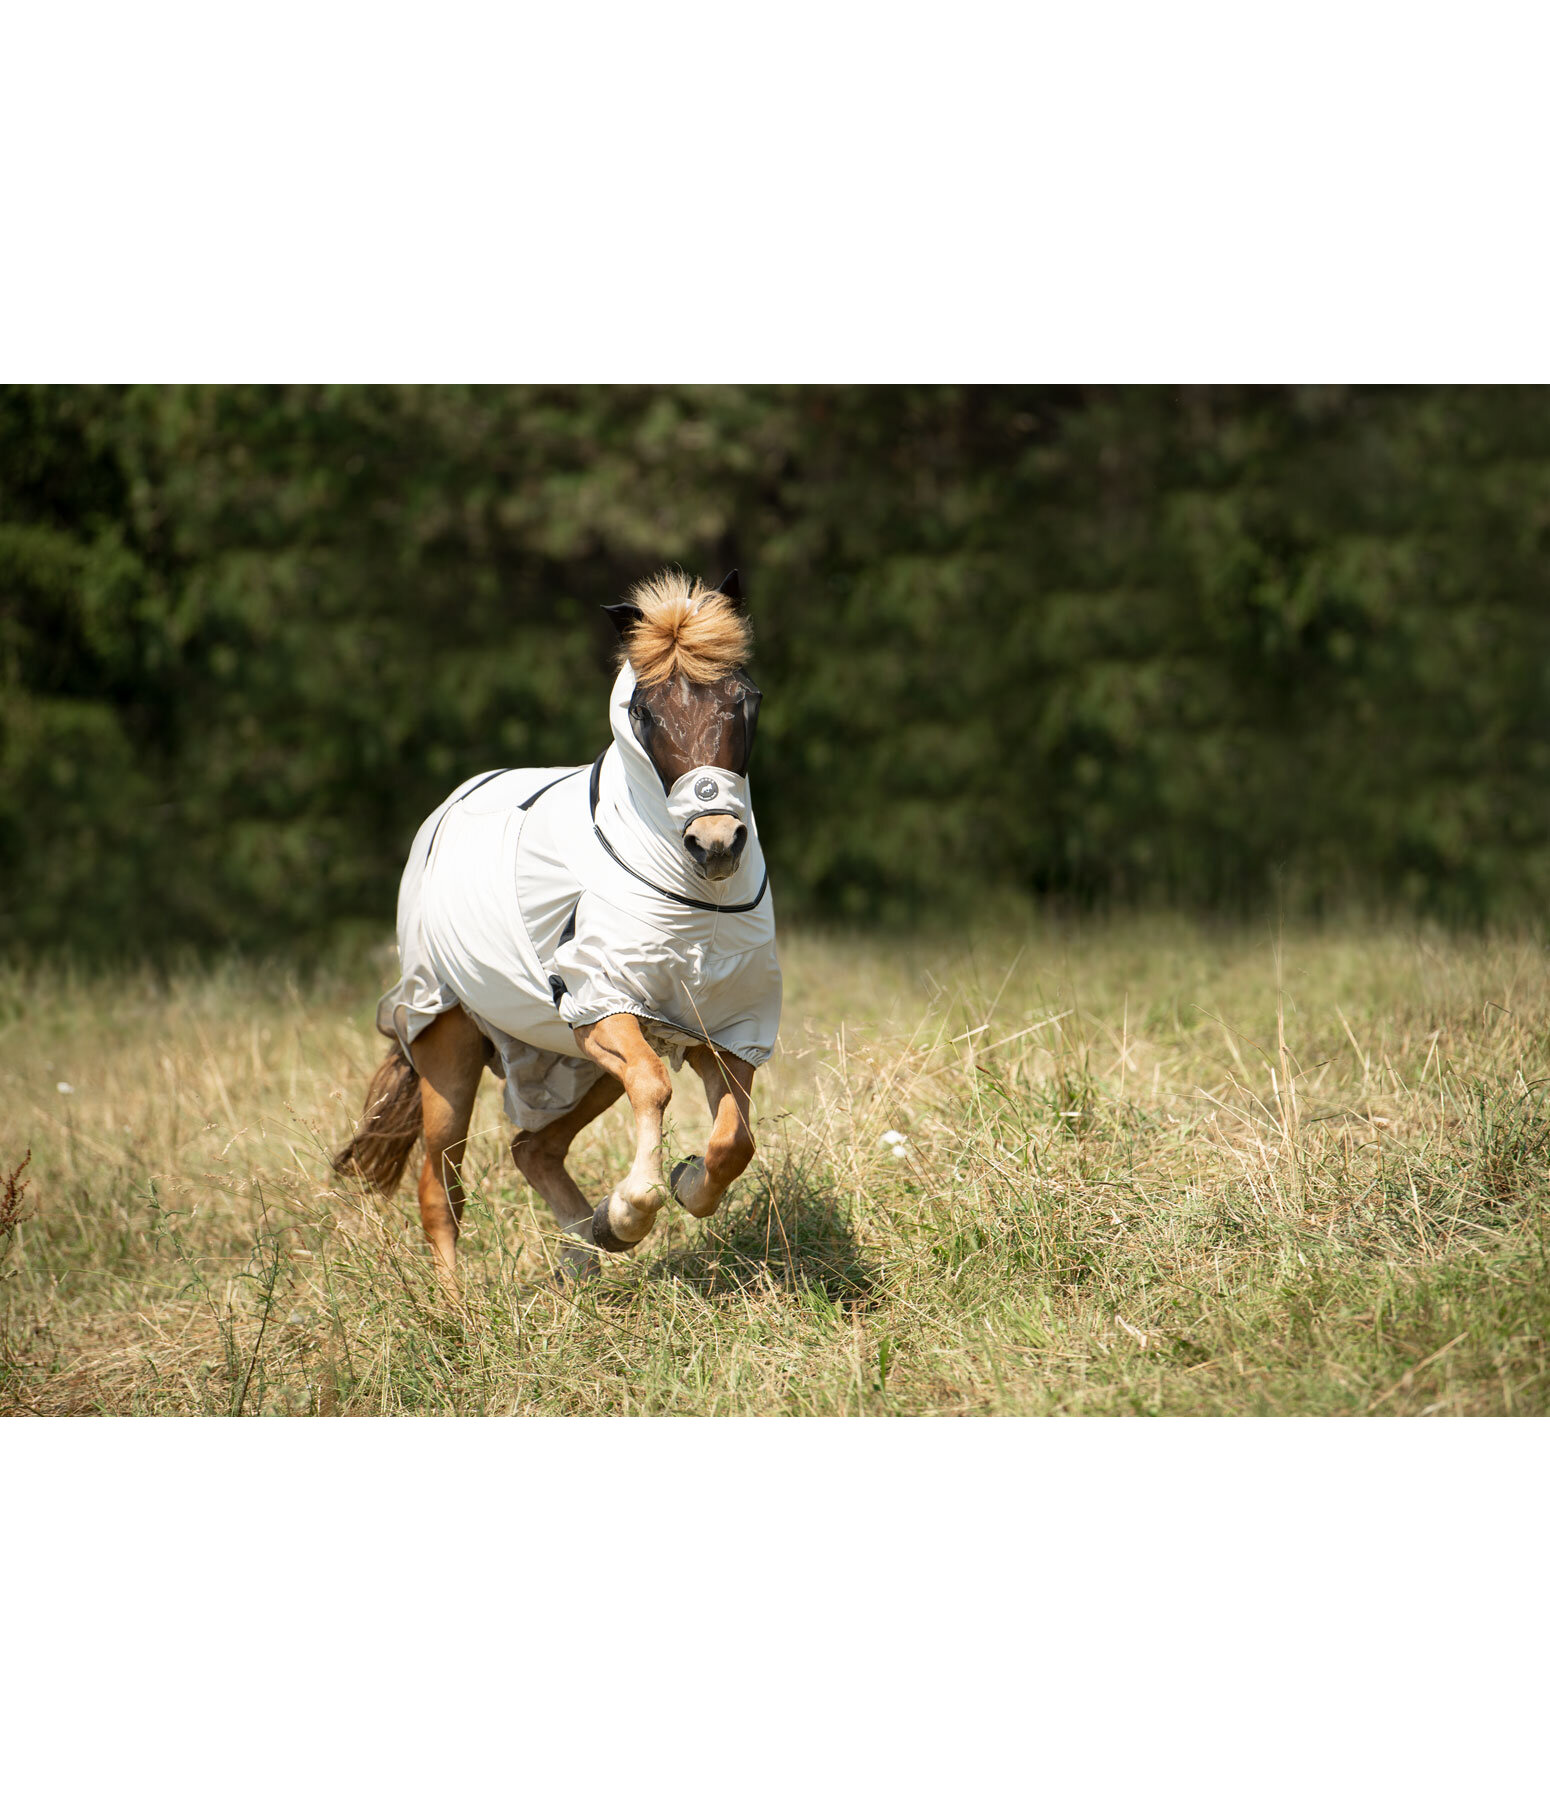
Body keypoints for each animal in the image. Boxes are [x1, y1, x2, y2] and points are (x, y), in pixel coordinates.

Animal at [334, 568, 781, 1288]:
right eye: (643, 711)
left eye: (745, 698)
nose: (716, 842)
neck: (697, 908)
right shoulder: (601, 1003)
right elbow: (655, 1085)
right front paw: (633, 1207)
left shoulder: (728, 1031)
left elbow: (735, 1139)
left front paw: (672, 1190)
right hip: (450, 1048)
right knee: (440, 1187)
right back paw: (458, 1308)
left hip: (567, 1062)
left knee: (531, 1146)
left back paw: (587, 1243)